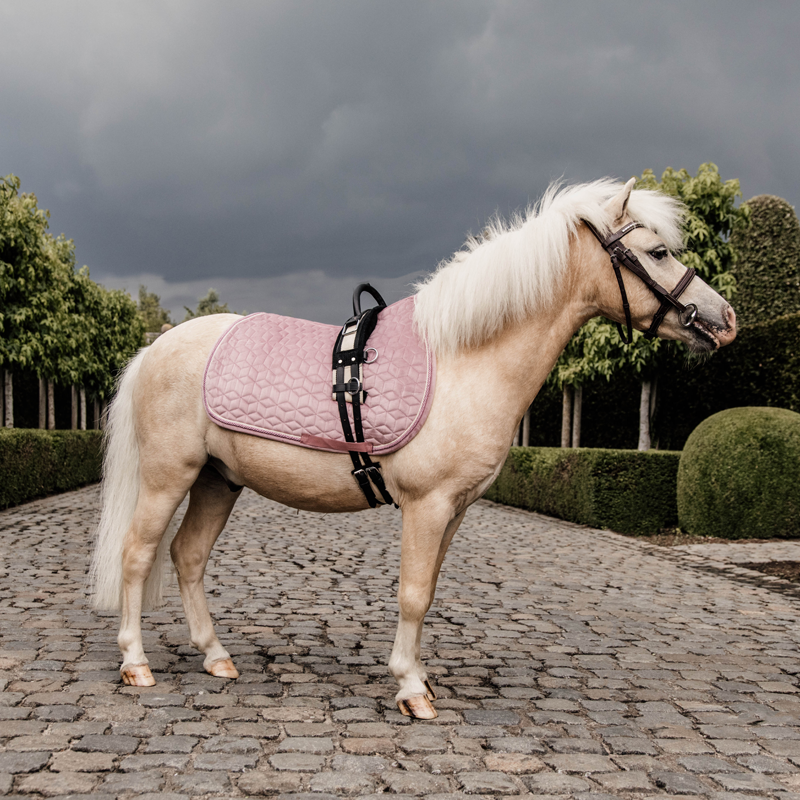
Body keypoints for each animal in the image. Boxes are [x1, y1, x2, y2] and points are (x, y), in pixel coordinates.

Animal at [90, 178, 736, 719]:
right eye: (658, 252)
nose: (724, 319)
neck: (462, 361)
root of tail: (156, 347)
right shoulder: (427, 506)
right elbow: (413, 594)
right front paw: (410, 691)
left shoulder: (454, 510)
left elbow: (427, 594)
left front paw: (419, 678)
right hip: (168, 478)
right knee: (137, 555)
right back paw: (136, 664)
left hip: (218, 480)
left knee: (188, 557)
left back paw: (216, 657)